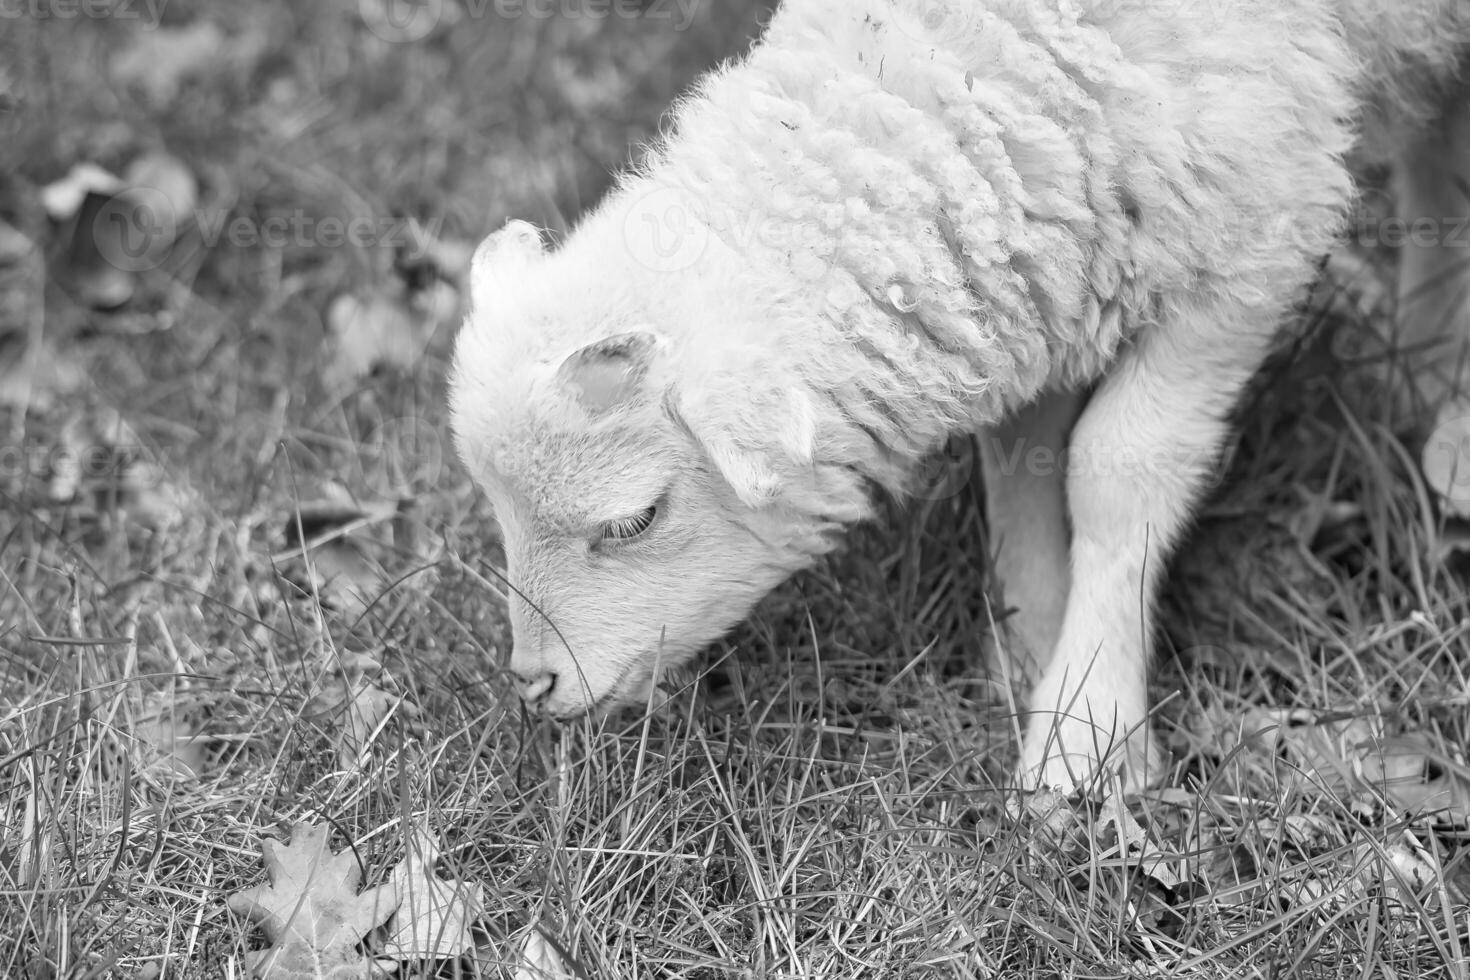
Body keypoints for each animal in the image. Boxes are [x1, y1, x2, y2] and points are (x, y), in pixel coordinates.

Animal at [446, 0, 1470, 793]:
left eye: (634, 520)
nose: (532, 684)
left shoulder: (1257, 233)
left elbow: (1119, 468)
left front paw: (1085, 740)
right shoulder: (1042, 260)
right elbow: (1021, 461)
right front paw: (1030, 651)